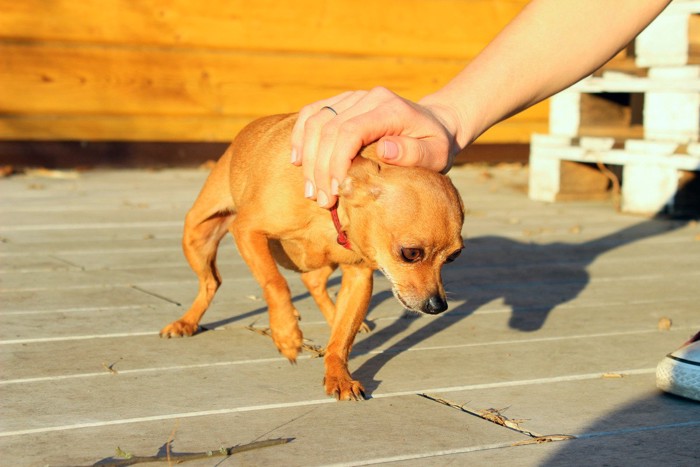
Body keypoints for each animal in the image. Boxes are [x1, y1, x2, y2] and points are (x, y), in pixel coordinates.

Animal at [160, 114, 464, 402]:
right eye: (411, 253)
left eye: (453, 257)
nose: (438, 306)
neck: (330, 210)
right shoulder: (247, 231)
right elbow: (275, 283)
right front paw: (285, 332)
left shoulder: (359, 277)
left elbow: (341, 339)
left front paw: (338, 376)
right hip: (197, 236)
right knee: (212, 282)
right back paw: (187, 322)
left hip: (323, 261)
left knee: (314, 283)